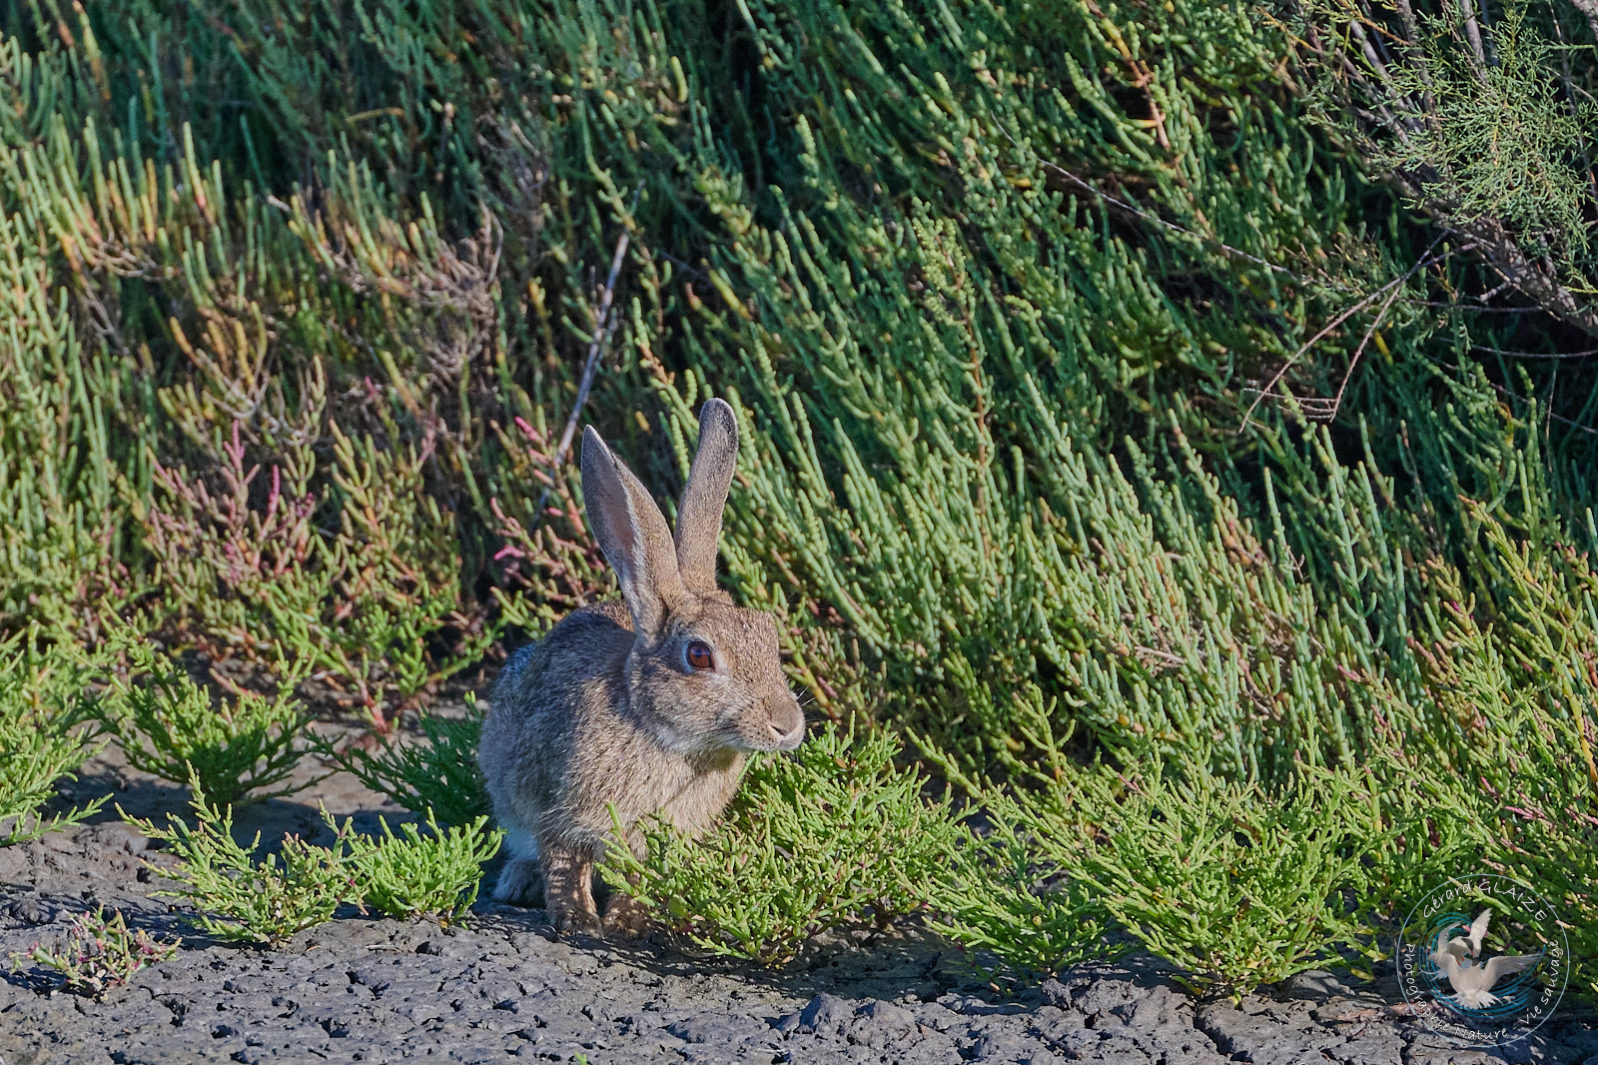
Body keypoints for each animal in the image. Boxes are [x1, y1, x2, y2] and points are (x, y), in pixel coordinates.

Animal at [469, 398, 799, 927]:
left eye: (768, 633)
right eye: (699, 655)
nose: (788, 726)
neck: (661, 734)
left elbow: (643, 878)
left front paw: (629, 923)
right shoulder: (553, 807)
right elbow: (563, 862)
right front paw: (577, 919)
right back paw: (518, 883)